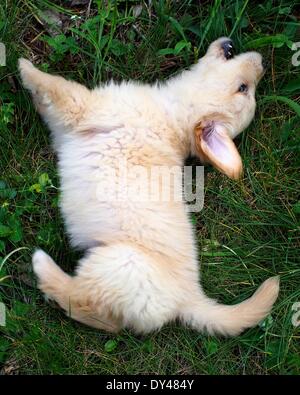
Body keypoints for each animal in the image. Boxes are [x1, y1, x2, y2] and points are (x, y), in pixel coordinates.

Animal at [19, 37, 280, 336]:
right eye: (245, 88)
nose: (262, 61)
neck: (173, 116)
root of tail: (189, 297)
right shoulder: (64, 128)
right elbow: (47, 103)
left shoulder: (85, 105)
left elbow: (54, 85)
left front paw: (24, 66)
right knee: (107, 321)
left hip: (119, 265)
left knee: (84, 306)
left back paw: (44, 267)